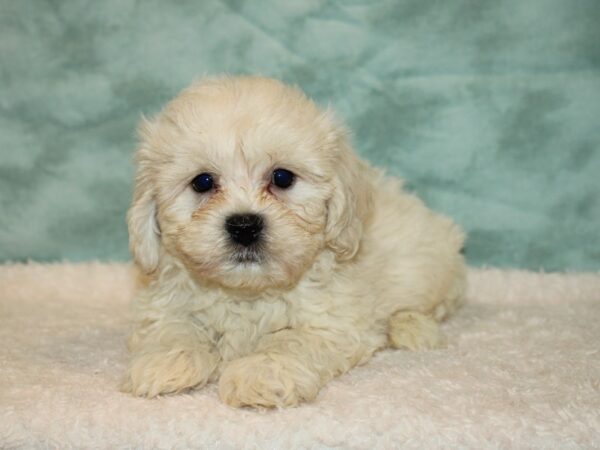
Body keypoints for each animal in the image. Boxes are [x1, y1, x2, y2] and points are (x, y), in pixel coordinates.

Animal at [122, 74, 466, 408]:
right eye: (203, 182)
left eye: (282, 178)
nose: (244, 226)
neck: (248, 292)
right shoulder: (167, 302)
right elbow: (175, 326)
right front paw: (164, 361)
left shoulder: (332, 321)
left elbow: (289, 340)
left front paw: (261, 373)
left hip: (429, 264)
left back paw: (411, 327)